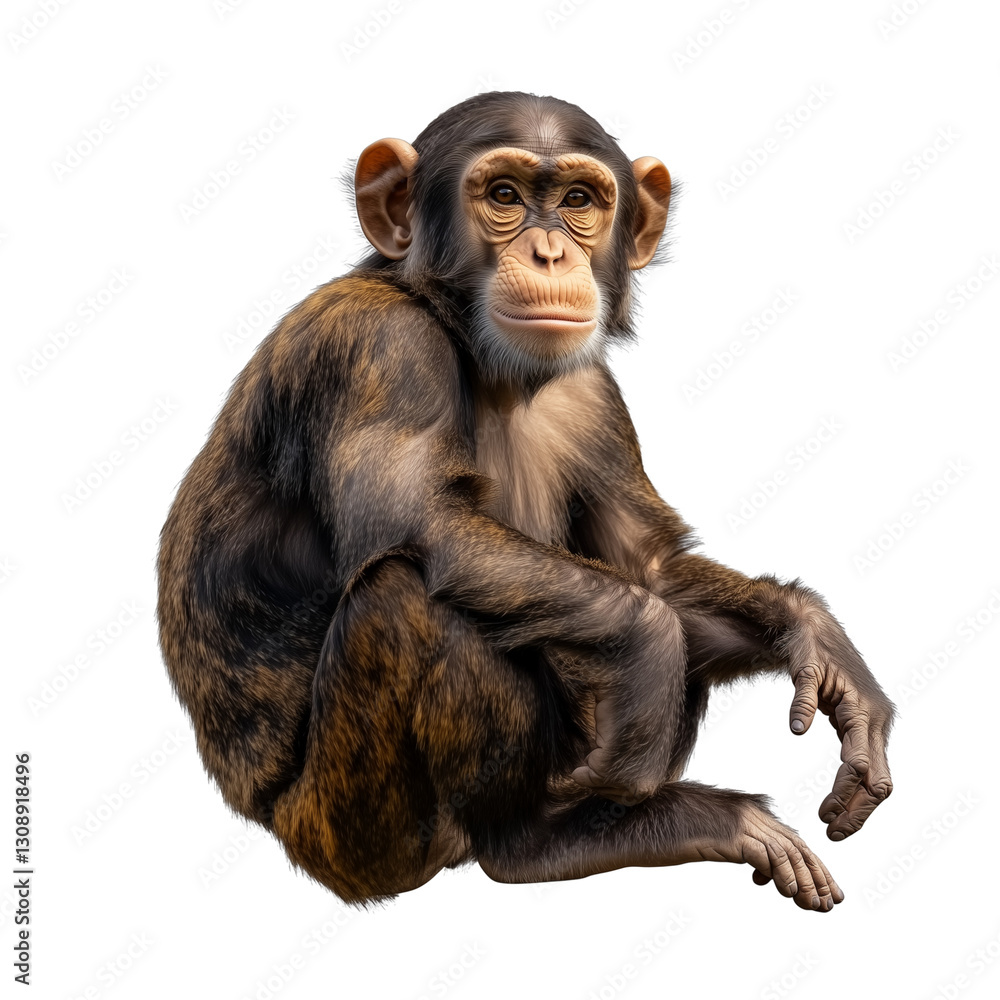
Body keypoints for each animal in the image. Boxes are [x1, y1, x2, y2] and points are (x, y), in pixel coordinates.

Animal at [157, 91, 894, 911]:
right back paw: (538, 842)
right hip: (345, 838)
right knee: (409, 594)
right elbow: (427, 524)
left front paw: (819, 641)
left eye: (577, 202)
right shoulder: (376, 348)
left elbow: (649, 565)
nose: (549, 253)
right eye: (504, 196)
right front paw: (648, 650)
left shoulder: (595, 394)